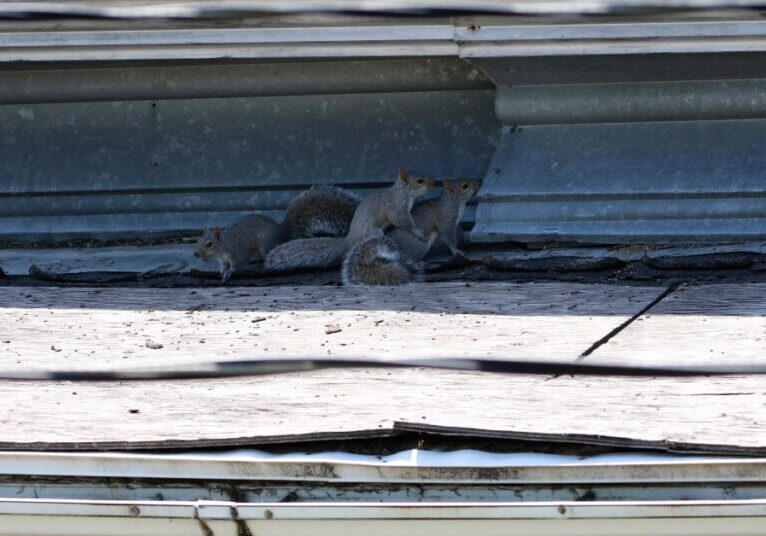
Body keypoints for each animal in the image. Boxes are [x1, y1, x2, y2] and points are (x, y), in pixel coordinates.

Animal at [192, 185, 360, 280]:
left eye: (209, 244)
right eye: (198, 241)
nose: (196, 254)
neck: (225, 245)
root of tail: (282, 231)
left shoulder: (237, 253)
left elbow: (236, 265)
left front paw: (229, 273)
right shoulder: (222, 259)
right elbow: (223, 265)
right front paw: (222, 271)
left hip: (266, 245)